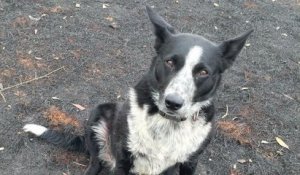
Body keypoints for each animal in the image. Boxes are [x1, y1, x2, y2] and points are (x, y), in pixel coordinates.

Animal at [24, 5, 253, 175]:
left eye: (203, 72)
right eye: (170, 62)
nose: (173, 103)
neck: (167, 124)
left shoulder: (190, 162)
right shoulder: (124, 160)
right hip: (99, 115)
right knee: (95, 163)